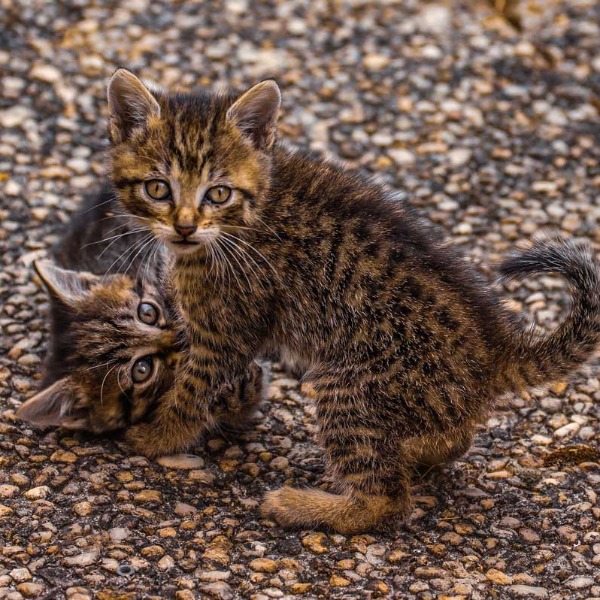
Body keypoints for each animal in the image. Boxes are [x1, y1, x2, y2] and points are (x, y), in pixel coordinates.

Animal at [106, 68, 600, 532]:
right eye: (158, 188)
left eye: (219, 193)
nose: (185, 226)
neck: (249, 213)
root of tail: (492, 350)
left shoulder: (226, 331)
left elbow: (191, 392)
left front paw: (157, 437)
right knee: (449, 442)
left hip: (352, 388)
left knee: (386, 501)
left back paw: (305, 506)